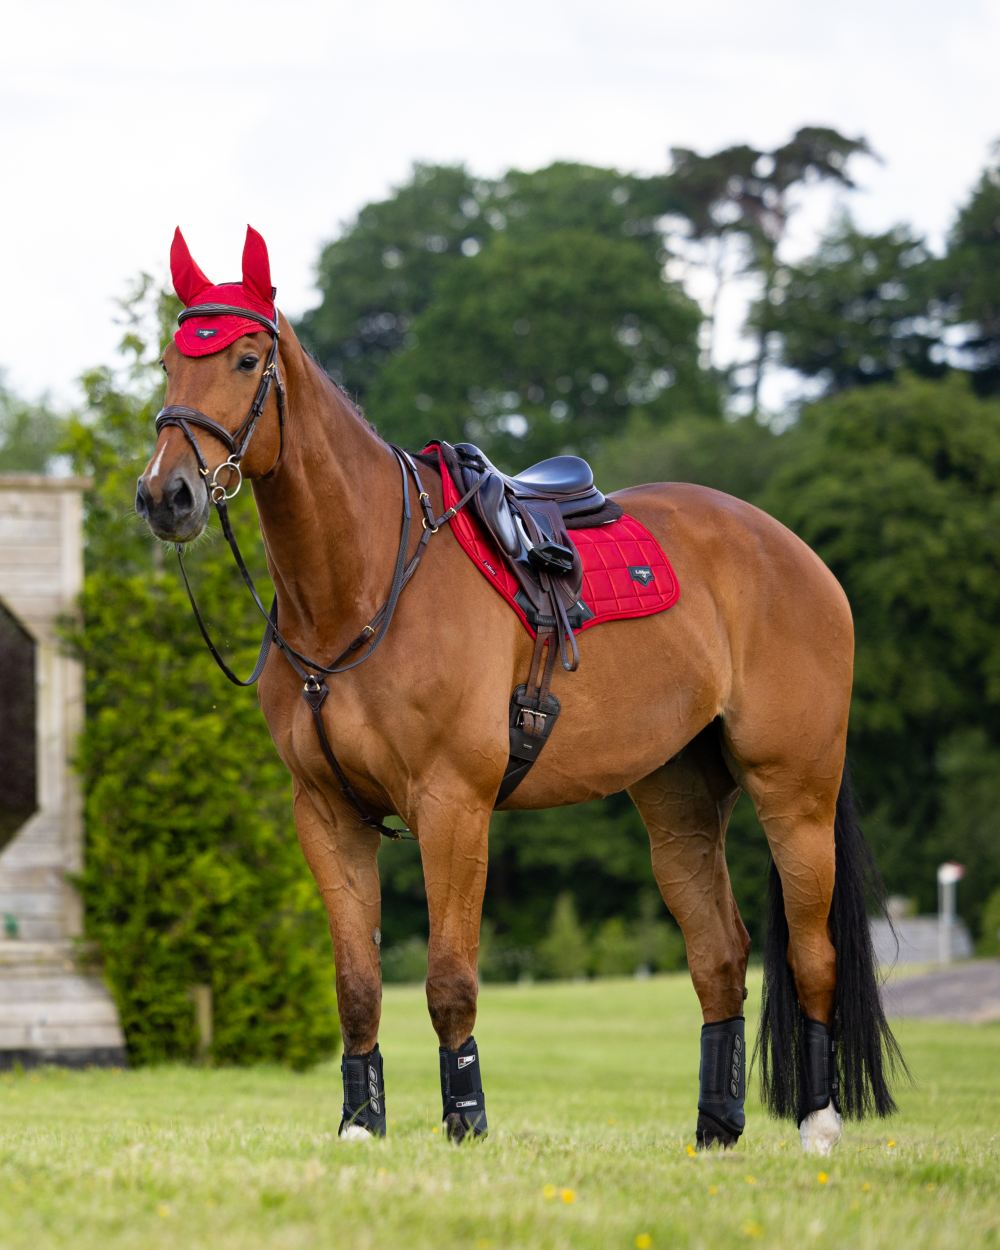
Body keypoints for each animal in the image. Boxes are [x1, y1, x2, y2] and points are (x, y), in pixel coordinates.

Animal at [136, 227, 900, 1150]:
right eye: (170, 364)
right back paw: (716, 1132)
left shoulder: (453, 806)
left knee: (812, 953)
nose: (165, 494)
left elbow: (448, 980)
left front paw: (466, 1124)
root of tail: (795, 552)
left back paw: (818, 1125)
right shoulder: (326, 814)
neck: (362, 583)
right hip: (677, 797)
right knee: (720, 956)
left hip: (795, 790)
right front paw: (361, 1128)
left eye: (247, 359)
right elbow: (357, 986)